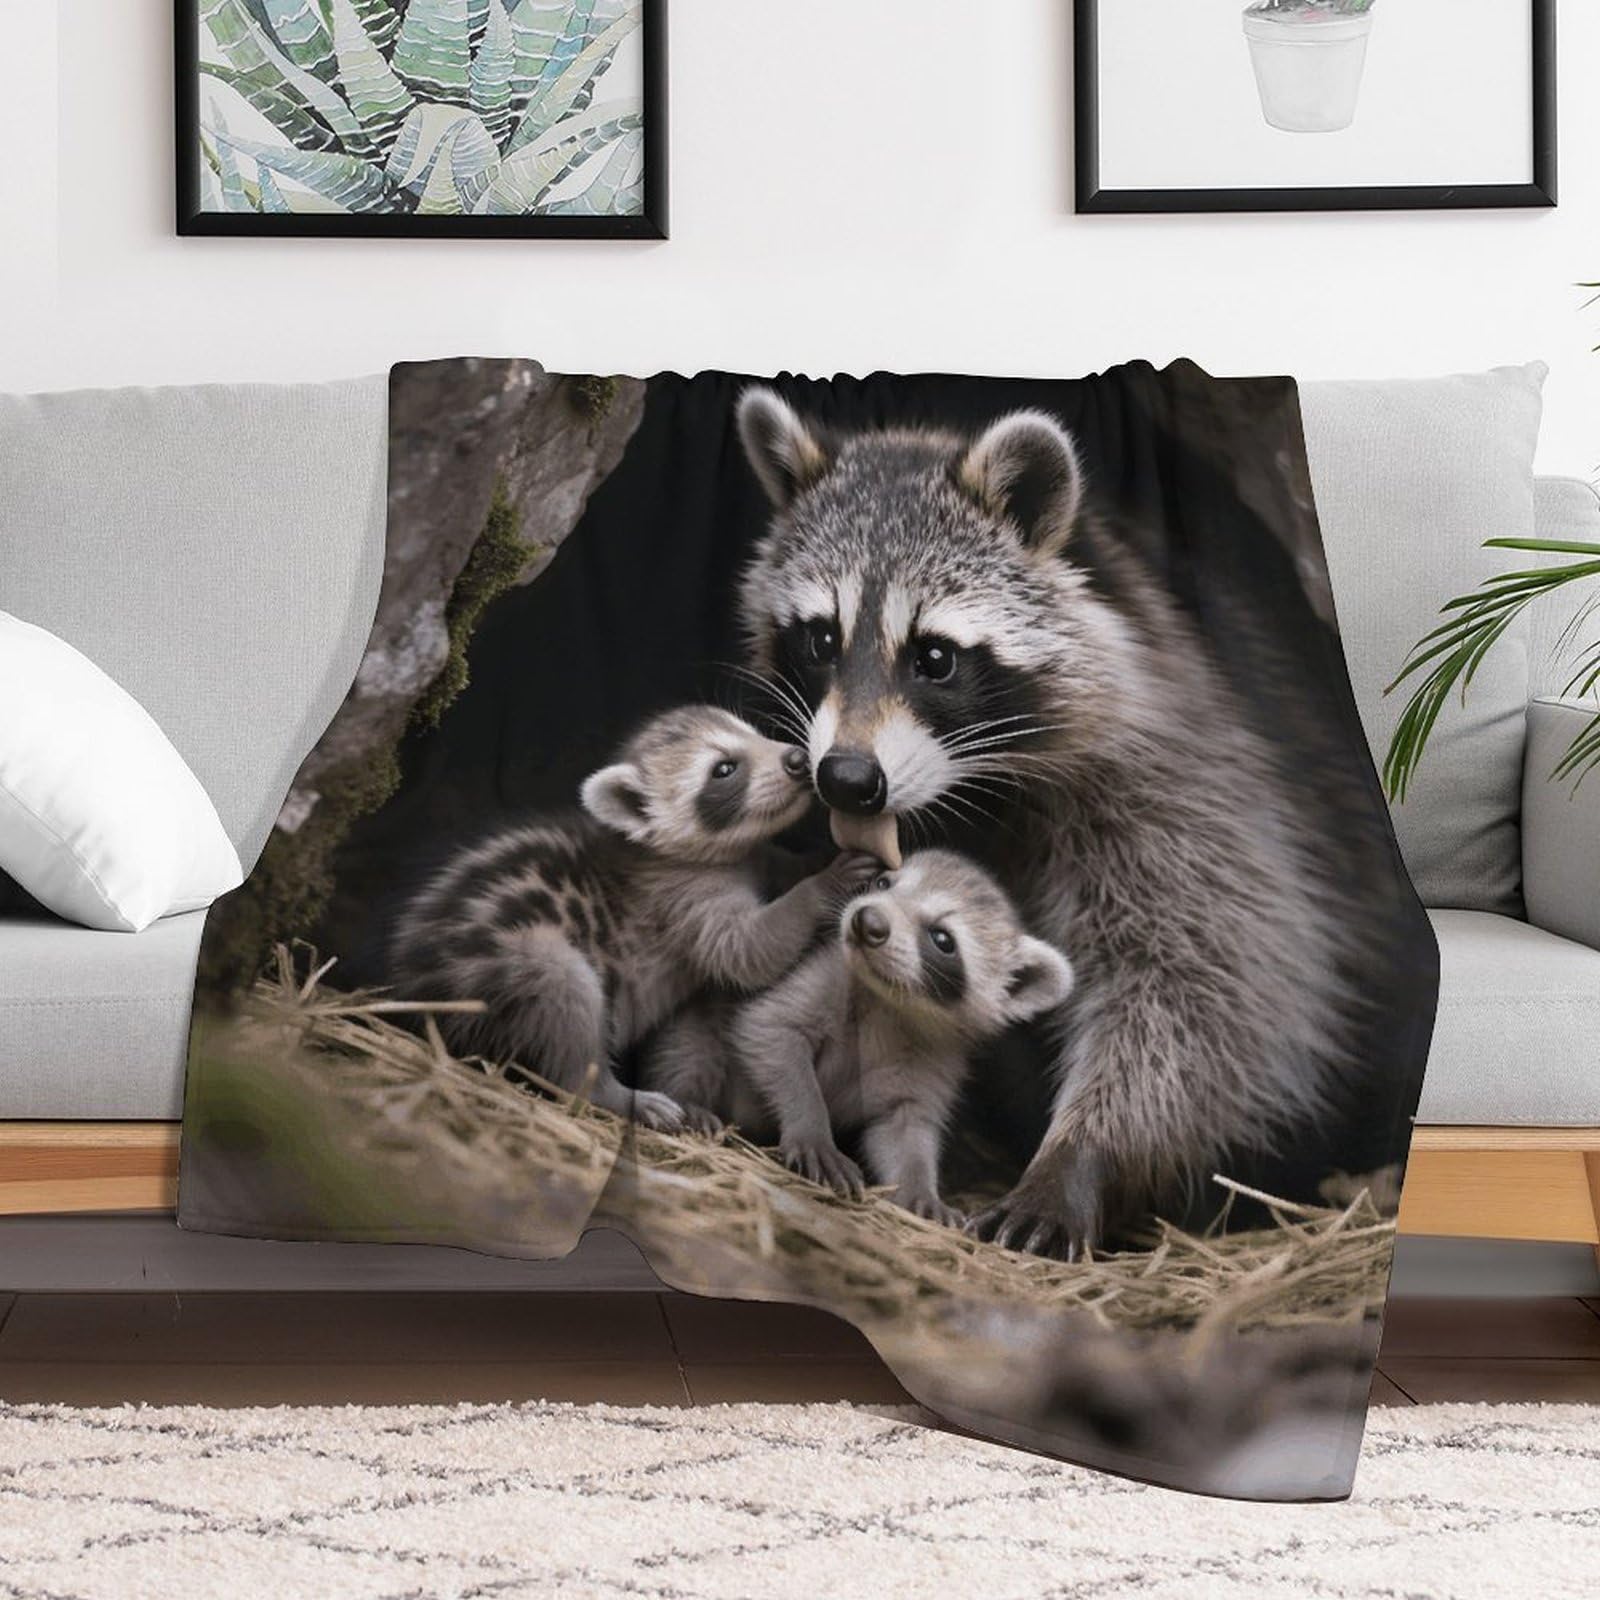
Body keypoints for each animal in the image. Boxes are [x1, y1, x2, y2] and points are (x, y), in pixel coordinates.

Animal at [390, 704, 877, 1130]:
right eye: (723, 769)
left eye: (753, 731)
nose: (798, 758)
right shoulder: (682, 902)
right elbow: (747, 953)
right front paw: (818, 888)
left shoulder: (748, 858)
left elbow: (774, 867)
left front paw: (811, 862)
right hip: (500, 968)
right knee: (564, 992)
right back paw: (611, 1093)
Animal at [719, 849, 1075, 1225]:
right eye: (882, 883)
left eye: (942, 939)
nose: (868, 920)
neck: (890, 1002)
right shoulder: (827, 973)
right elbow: (770, 1029)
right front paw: (811, 1126)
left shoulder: (938, 1053)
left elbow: (905, 1125)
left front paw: (920, 1187)